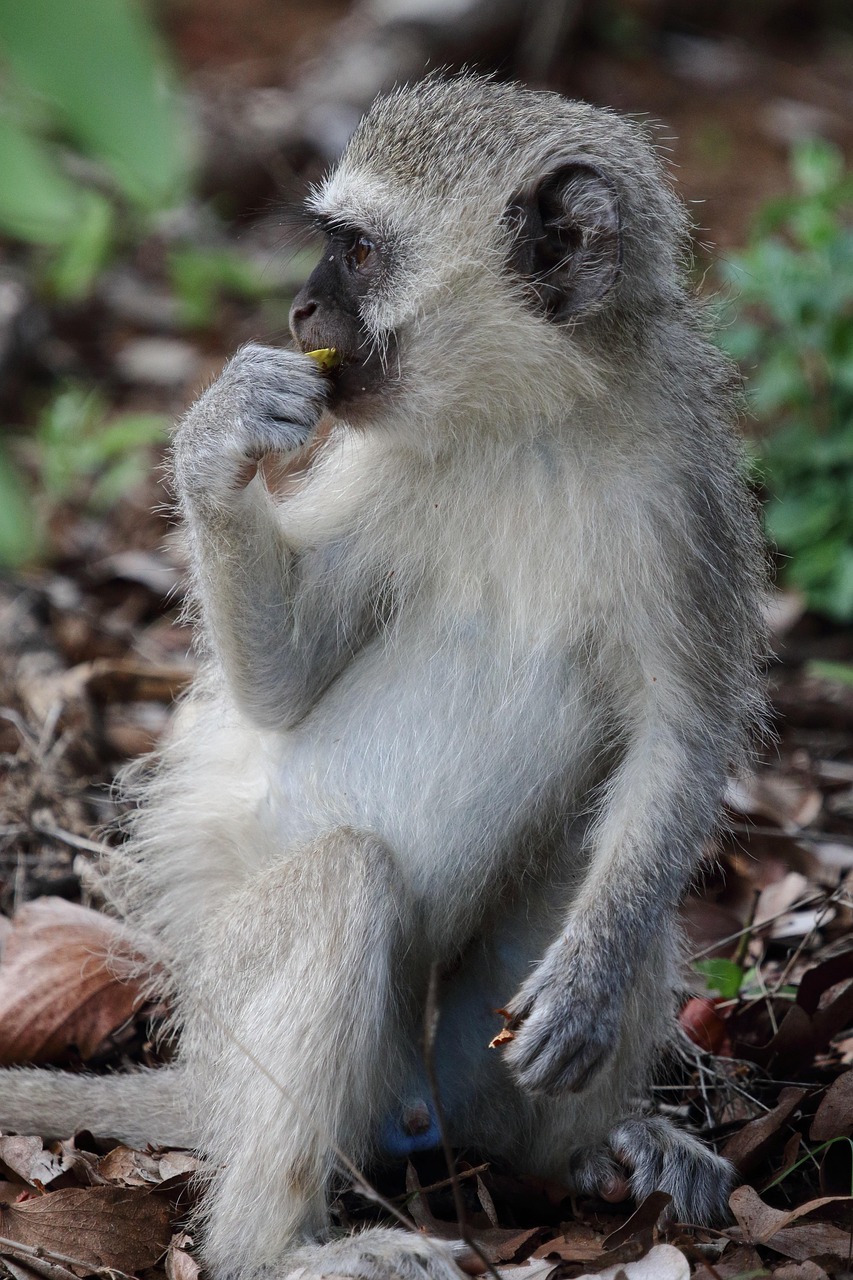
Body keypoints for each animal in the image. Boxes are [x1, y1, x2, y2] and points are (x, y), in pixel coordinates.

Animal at [0, 74, 766, 1280]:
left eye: (355, 254)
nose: (301, 314)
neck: (528, 421)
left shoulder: (680, 491)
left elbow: (677, 737)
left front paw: (589, 982)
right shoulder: (372, 462)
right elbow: (282, 686)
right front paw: (220, 438)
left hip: (460, 1062)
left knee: (593, 891)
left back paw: (589, 1152)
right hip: (234, 994)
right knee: (342, 880)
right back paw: (281, 1250)